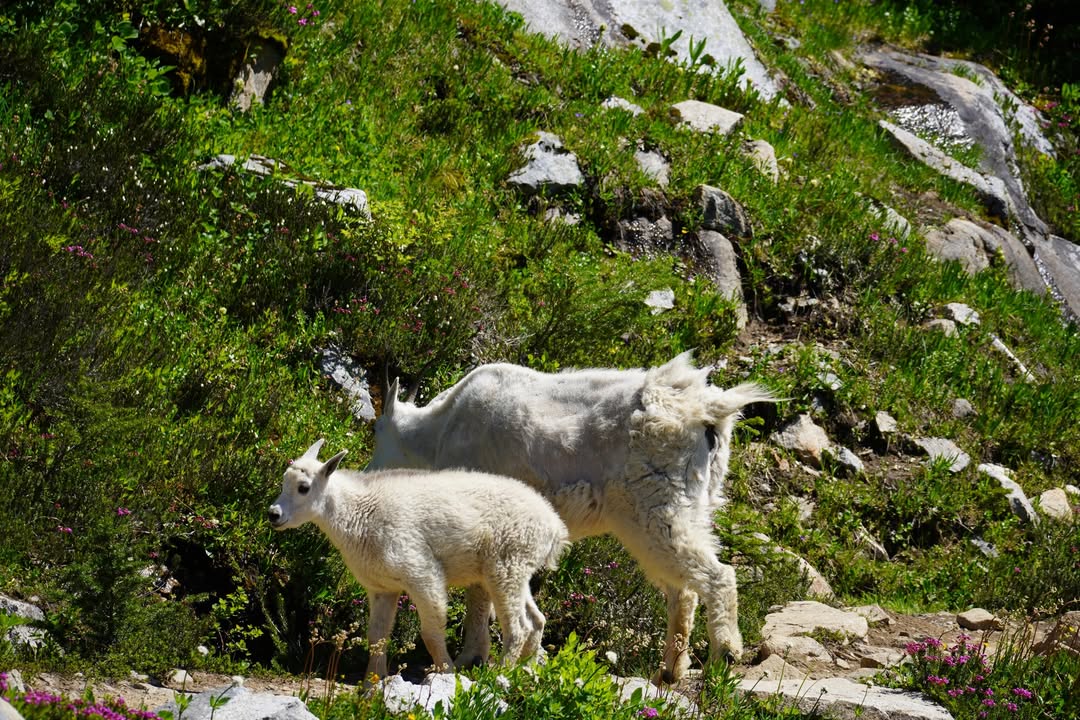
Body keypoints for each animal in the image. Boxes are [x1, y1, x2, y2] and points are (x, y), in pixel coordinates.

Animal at [268, 439, 569, 681]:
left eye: (304, 487)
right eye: (283, 482)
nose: (273, 514)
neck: (358, 513)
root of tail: (554, 526)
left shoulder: (421, 572)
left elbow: (431, 632)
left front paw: (446, 673)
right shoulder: (381, 587)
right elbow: (377, 636)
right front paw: (371, 684)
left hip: (506, 565)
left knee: (519, 626)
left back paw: (500, 675)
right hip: (514, 570)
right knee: (537, 620)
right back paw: (527, 669)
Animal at [367, 351, 774, 683]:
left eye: (377, 430)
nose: (369, 470)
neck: (438, 432)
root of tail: (708, 415)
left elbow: (478, 594)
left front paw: (472, 657)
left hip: (658, 505)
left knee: (716, 575)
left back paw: (724, 655)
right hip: (681, 507)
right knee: (683, 589)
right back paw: (670, 670)